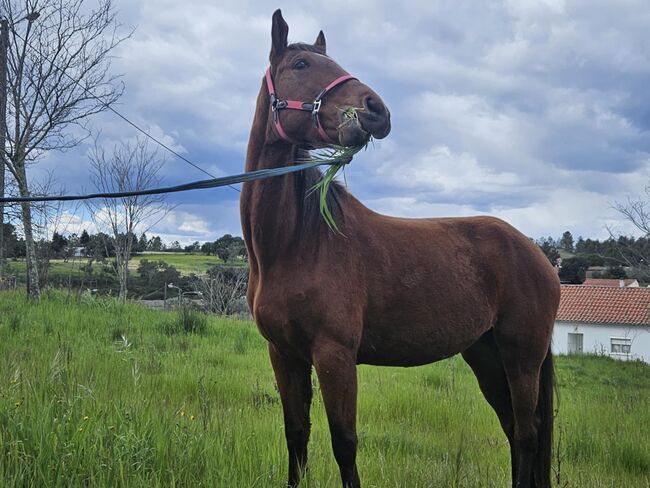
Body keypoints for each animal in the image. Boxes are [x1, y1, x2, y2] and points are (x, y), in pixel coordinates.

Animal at [240, 8, 560, 488]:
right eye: (301, 65)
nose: (376, 109)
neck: (293, 245)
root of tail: (537, 254)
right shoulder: (284, 355)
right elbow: (296, 435)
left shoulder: (335, 356)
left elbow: (344, 444)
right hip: (486, 355)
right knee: (513, 430)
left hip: (523, 357)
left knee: (526, 434)